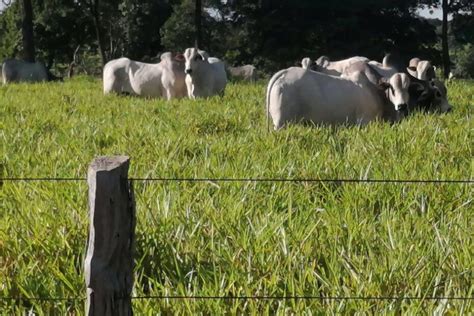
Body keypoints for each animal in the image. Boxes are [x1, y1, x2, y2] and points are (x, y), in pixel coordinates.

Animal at [266, 66, 412, 130]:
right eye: (392, 88)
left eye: (408, 88)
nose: (402, 106)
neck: (375, 91)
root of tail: (284, 73)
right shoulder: (364, 121)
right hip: (282, 123)